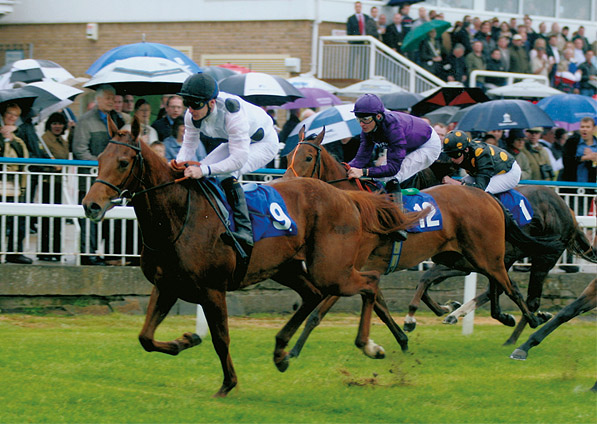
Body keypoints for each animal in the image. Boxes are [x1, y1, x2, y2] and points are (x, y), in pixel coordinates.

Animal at [81, 117, 426, 398]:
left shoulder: (212, 289)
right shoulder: (166, 286)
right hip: (287, 267)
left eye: (123, 162)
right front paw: (186, 340)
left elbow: (221, 339)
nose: (91, 205)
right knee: (314, 295)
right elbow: (145, 337)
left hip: (331, 268)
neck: (178, 217)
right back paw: (282, 352)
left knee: (369, 282)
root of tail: (347, 196)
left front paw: (227, 384)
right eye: (99, 158)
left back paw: (371, 345)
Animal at [282, 126, 560, 358]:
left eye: (308, 158)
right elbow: (381, 307)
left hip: (485, 254)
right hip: (459, 255)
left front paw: (293, 350)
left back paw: (532, 321)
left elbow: (318, 312)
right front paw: (403, 339)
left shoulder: (349, 271)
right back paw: (490, 315)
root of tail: (488, 197)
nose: (286, 184)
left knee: (509, 285)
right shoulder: (368, 269)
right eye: (287, 157)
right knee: (495, 282)